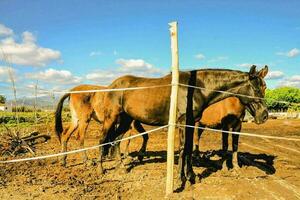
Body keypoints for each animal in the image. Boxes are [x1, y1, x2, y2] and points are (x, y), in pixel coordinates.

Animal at [97, 66, 268, 189]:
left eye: (265, 87)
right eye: (256, 88)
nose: (264, 115)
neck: (196, 88)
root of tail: (112, 86)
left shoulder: (192, 123)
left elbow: (189, 149)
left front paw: (192, 177)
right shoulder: (183, 123)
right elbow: (182, 149)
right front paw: (181, 180)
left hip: (126, 120)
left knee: (116, 140)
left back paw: (121, 167)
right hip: (111, 118)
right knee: (103, 140)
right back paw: (100, 169)